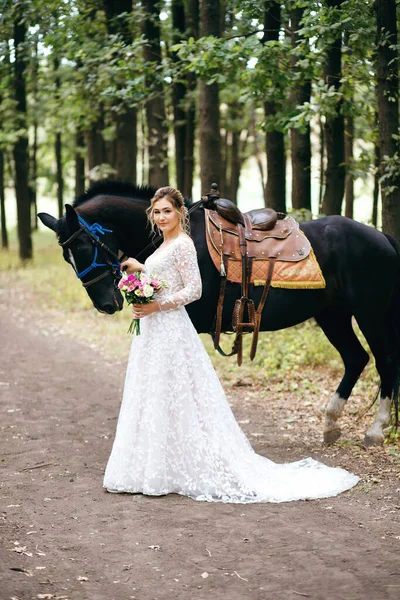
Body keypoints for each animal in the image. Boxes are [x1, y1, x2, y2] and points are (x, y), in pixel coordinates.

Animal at [38, 180, 400, 448]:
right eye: (67, 256)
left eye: (84, 246)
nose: (106, 304)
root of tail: (382, 236)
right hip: (332, 315)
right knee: (356, 359)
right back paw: (331, 424)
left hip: (369, 312)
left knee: (383, 362)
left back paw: (375, 430)